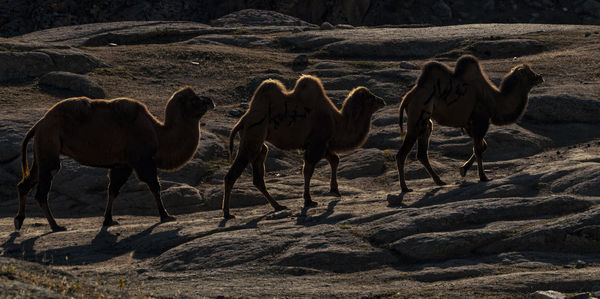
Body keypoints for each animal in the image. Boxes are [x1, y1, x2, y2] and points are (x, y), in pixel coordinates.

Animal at [14, 86, 217, 232]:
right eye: (194, 99)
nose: (211, 101)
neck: (158, 133)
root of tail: (39, 124)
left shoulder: (123, 164)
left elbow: (113, 190)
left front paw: (108, 220)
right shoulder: (142, 160)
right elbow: (154, 186)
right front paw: (166, 215)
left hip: (42, 152)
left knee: (25, 184)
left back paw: (19, 221)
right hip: (49, 148)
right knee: (42, 190)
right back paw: (56, 225)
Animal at [223, 74, 386, 220]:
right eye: (370, 97)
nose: (382, 101)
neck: (337, 122)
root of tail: (242, 120)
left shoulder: (320, 144)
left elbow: (335, 159)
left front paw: (334, 190)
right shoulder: (317, 142)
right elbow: (308, 170)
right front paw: (309, 200)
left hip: (258, 143)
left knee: (258, 174)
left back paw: (278, 206)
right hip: (253, 136)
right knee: (233, 174)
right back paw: (227, 213)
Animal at [398, 54, 544, 192]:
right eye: (529, 73)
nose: (540, 77)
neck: (494, 100)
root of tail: (407, 98)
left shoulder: (470, 124)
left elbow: (482, 146)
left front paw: (463, 169)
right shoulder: (481, 120)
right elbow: (479, 149)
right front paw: (483, 177)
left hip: (426, 122)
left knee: (422, 152)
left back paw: (439, 181)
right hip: (417, 116)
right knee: (402, 153)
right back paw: (405, 188)